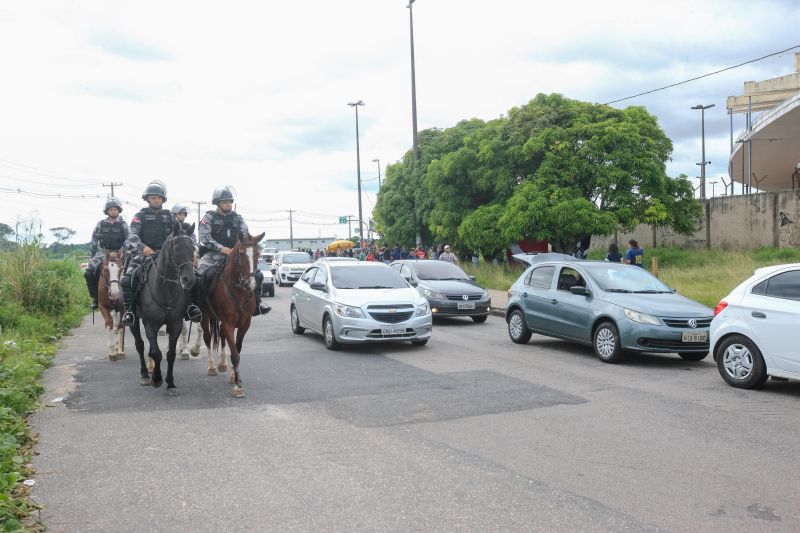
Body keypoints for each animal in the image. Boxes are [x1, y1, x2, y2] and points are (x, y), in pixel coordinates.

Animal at [130, 218, 197, 392]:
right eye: (177, 248)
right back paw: (145, 375)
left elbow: (170, 354)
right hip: (133, 320)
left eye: (193, 248)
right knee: (139, 345)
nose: (189, 280)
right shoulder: (150, 325)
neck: (165, 290)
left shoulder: (175, 324)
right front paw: (157, 378)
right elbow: (156, 353)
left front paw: (170, 383)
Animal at [200, 231, 266, 396]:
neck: (239, 291)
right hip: (204, 316)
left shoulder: (245, 324)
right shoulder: (229, 323)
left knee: (222, 336)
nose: (251, 284)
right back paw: (212, 367)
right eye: (241, 253)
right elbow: (235, 354)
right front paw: (238, 385)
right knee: (207, 337)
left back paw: (223, 364)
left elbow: (237, 349)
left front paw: (233, 376)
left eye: (258, 253)